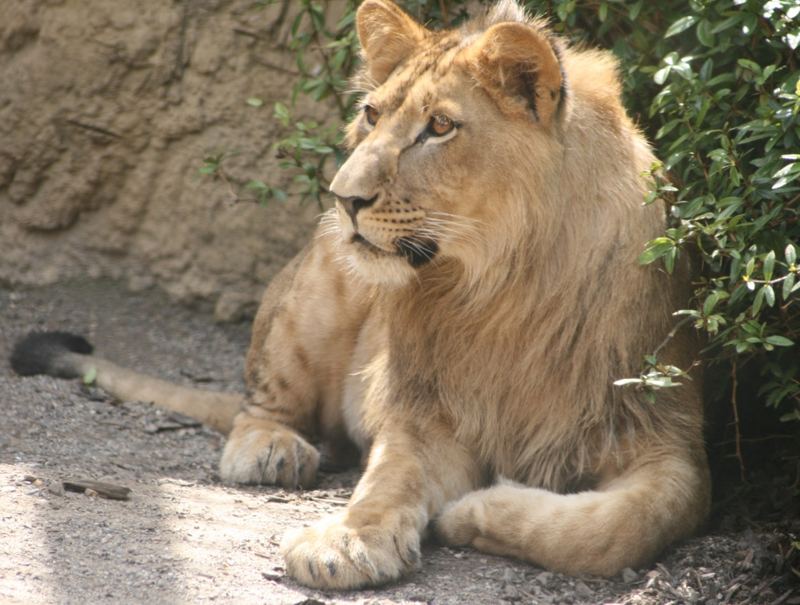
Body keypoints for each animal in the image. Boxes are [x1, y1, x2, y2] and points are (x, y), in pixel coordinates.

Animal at [10, 0, 712, 588]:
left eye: (439, 126)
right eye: (373, 115)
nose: (342, 196)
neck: (504, 289)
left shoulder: (668, 439)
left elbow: (621, 527)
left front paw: (474, 510)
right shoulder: (421, 413)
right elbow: (385, 483)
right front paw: (344, 543)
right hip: (317, 287)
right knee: (256, 406)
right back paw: (270, 451)